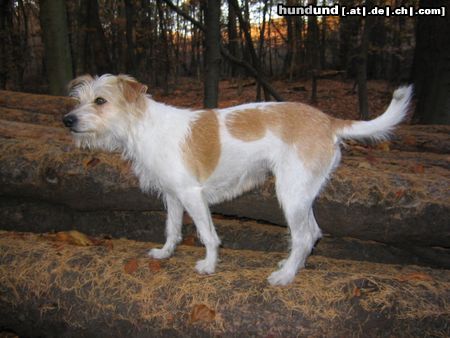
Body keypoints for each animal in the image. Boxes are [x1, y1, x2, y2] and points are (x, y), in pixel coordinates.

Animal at [62, 74, 412, 286]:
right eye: (79, 99)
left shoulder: (192, 195)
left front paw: (209, 265)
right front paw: (165, 253)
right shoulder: (173, 197)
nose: (67, 120)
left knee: (303, 237)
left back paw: (285, 276)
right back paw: (292, 268)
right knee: (312, 233)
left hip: (291, 194)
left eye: (100, 101)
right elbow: (172, 229)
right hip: (301, 195)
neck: (143, 127)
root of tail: (327, 120)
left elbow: (207, 235)